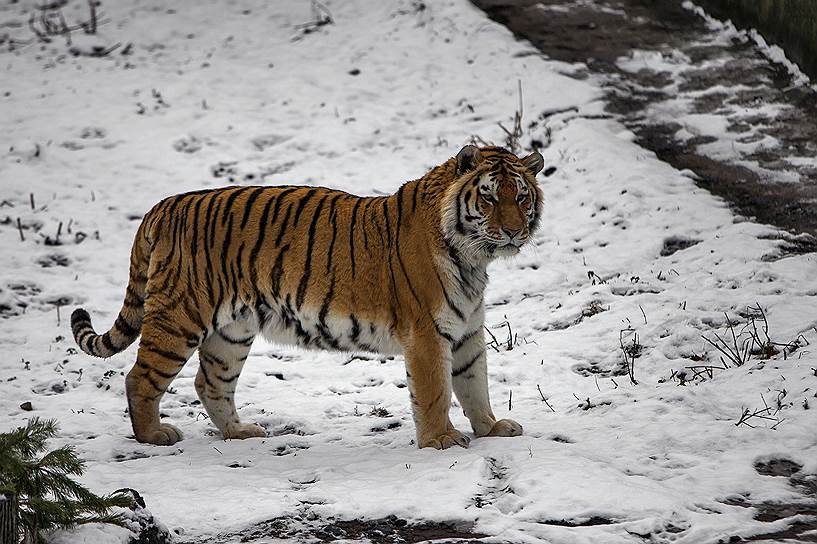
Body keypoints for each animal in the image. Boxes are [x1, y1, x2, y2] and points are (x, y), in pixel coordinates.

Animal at [71, 143, 548, 446]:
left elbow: (475, 384)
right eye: (488, 198)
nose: (513, 232)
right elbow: (434, 392)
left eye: (522, 197)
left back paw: (239, 433)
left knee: (210, 382)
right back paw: (153, 436)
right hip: (179, 317)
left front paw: (490, 429)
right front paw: (441, 441)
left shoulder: (466, 331)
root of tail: (162, 206)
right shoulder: (428, 335)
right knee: (139, 377)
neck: (473, 258)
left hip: (232, 332)